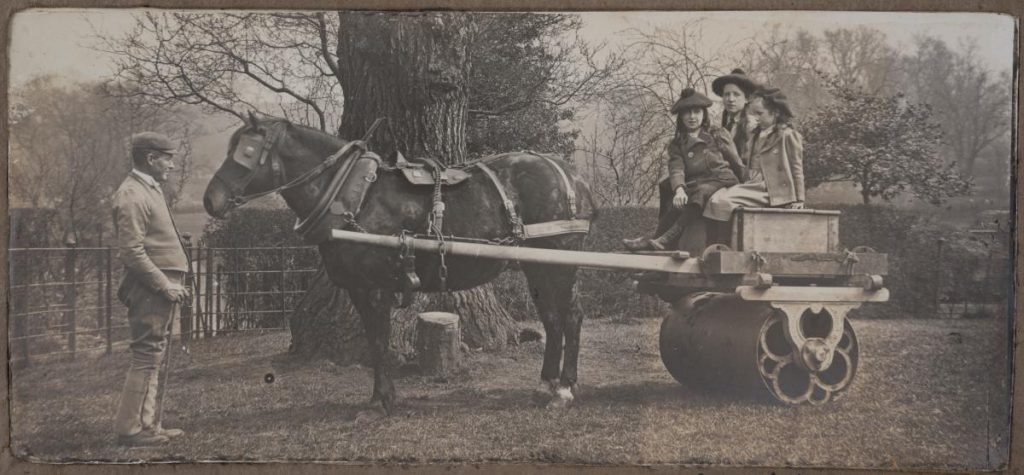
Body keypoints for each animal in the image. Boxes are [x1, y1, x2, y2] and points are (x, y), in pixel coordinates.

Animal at [202, 115, 598, 411]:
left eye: (247, 151)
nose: (210, 200)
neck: (353, 196)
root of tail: (570, 174)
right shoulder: (358, 289)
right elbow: (374, 339)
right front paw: (381, 396)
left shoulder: (376, 287)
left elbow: (379, 341)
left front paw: (381, 400)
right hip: (538, 264)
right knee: (553, 319)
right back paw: (546, 384)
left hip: (561, 258)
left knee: (571, 316)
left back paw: (564, 389)